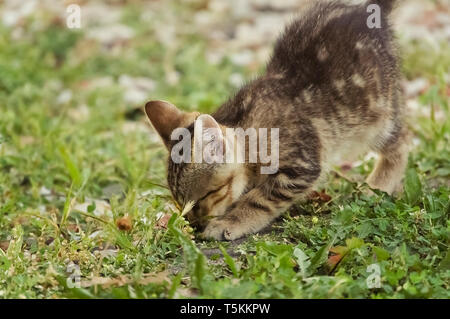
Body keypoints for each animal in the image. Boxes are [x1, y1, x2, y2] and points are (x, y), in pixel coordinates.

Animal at [146, 0, 410, 240]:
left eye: (204, 197)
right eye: (180, 202)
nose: (195, 225)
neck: (248, 131)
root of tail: (370, 7)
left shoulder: (300, 167)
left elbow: (259, 200)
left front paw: (230, 222)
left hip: (378, 117)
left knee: (402, 141)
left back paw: (378, 185)